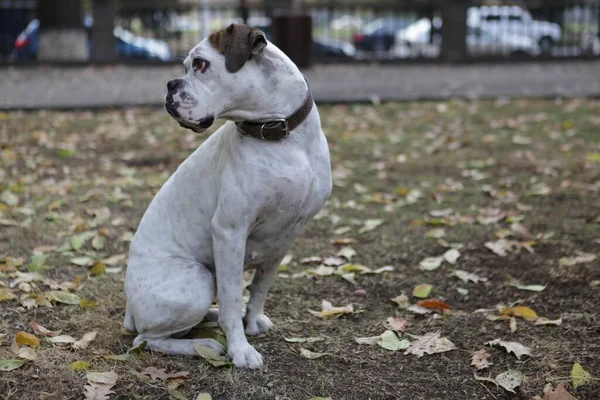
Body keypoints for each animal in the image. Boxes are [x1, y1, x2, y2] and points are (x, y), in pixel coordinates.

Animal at [123, 24, 332, 368]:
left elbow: (260, 287)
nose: (170, 84)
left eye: (199, 65)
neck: (283, 138)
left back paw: (210, 317)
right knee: (147, 339)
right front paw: (240, 349)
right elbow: (234, 298)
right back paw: (204, 343)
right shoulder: (230, 232)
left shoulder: (285, 237)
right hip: (197, 278)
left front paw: (253, 320)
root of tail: (129, 307)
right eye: (187, 67)